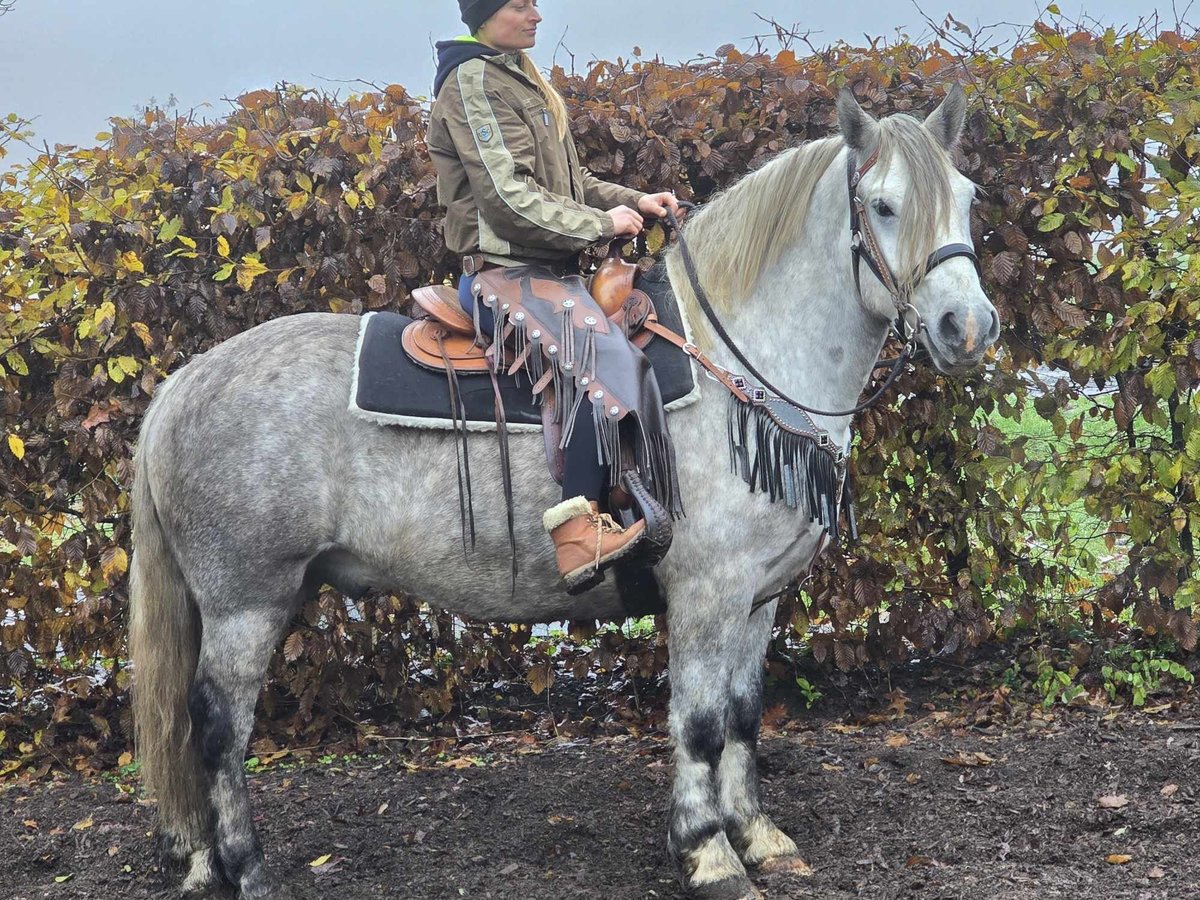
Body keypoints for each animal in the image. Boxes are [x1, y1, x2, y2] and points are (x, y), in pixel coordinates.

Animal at [129, 86, 1003, 900]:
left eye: (967, 196)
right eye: (882, 205)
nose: (968, 328)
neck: (738, 361)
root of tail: (182, 383)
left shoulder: (759, 598)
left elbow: (744, 715)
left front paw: (757, 834)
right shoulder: (707, 591)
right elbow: (700, 723)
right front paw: (708, 852)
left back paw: (204, 862)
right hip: (247, 601)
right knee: (218, 727)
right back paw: (247, 868)